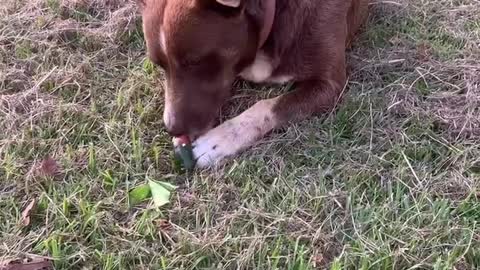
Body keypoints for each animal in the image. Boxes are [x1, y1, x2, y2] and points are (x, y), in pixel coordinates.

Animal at [137, 0, 370, 168]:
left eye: (195, 62)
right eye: (159, 65)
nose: (172, 128)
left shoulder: (329, 84)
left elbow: (266, 106)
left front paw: (219, 140)